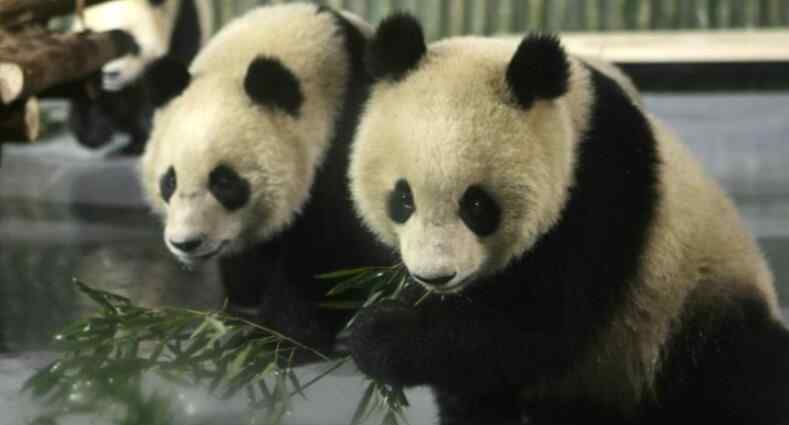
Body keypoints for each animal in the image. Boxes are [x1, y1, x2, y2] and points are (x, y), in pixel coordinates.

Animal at [67, 0, 211, 156]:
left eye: (129, 43)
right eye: (99, 45)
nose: (110, 74)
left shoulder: (183, 25)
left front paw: (145, 137)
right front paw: (95, 130)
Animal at [140, 4, 392, 358]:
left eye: (224, 182)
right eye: (169, 182)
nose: (186, 243)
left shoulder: (343, 150)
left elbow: (324, 257)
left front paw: (281, 336)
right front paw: (242, 312)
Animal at [346, 13, 788, 424]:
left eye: (477, 206)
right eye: (403, 199)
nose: (436, 277)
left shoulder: (601, 193)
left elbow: (533, 327)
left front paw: (376, 334)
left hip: (684, 310)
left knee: (738, 374)